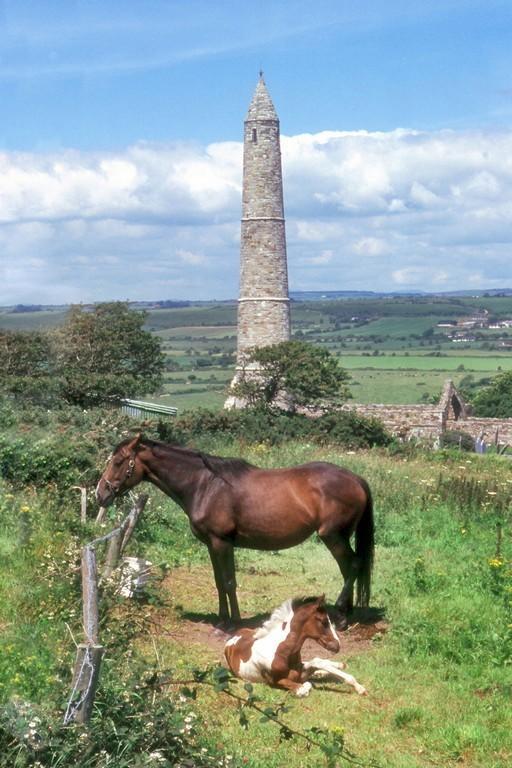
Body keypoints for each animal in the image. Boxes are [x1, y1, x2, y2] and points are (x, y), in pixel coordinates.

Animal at [96, 436, 374, 628]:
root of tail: (356, 479)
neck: (206, 485)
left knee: (354, 565)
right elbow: (219, 582)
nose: (101, 493)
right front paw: (221, 619)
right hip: (340, 536)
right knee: (348, 567)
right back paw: (344, 614)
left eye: (118, 462)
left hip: (332, 535)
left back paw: (340, 616)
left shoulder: (222, 542)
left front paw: (235, 622)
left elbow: (229, 581)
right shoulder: (211, 544)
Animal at [225, 596, 368, 700]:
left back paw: (337, 666)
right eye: (324, 622)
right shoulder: (278, 681)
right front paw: (359, 688)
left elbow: (317, 662)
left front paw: (359, 687)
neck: (281, 651)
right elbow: (305, 687)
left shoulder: (300, 670)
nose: (337, 646)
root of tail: (233, 637)